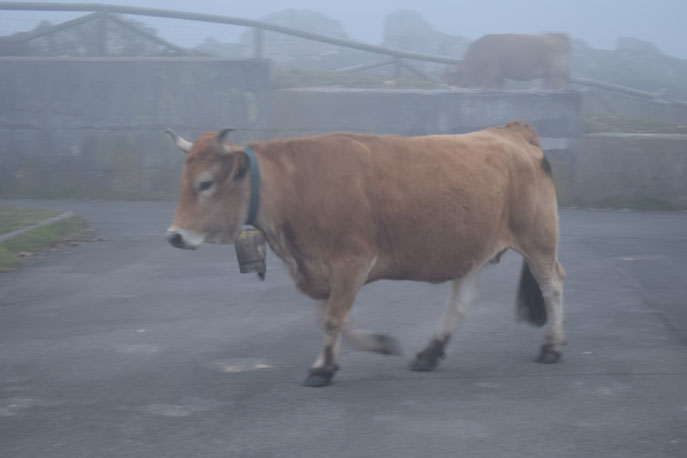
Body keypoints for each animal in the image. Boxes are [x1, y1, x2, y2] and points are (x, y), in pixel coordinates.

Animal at [165, 121, 564, 386]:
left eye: (205, 183)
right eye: (183, 182)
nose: (174, 235)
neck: (297, 185)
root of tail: (510, 131)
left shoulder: (351, 261)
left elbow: (332, 318)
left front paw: (321, 369)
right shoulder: (320, 268)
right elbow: (329, 316)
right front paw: (375, 345)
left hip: (538, 239)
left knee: (553, 285)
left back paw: (552, 348)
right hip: (471, 248)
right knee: (462, 301)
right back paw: (429, 353)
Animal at [444, 32, 572, 89]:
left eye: (453, 80)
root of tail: (557, 34)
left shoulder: (491, 72)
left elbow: (488, 85)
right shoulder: (499, 76)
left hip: (556, 71)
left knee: (558, 84)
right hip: (548, 74)